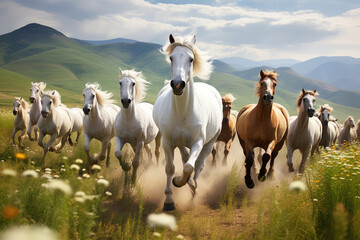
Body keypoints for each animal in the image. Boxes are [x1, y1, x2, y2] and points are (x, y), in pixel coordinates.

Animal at [152, 34, 222, 211]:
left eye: (191, 59)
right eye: (171, 57)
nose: (178, 84)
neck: (182, 112)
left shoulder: (198, 142)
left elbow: (190, 166)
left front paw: (182, 182)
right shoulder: (167, 142)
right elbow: (170, 168)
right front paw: (169, 200)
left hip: (210, 142)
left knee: (198, 165)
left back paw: (193, 187)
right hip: (180, 142)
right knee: (185, 157)